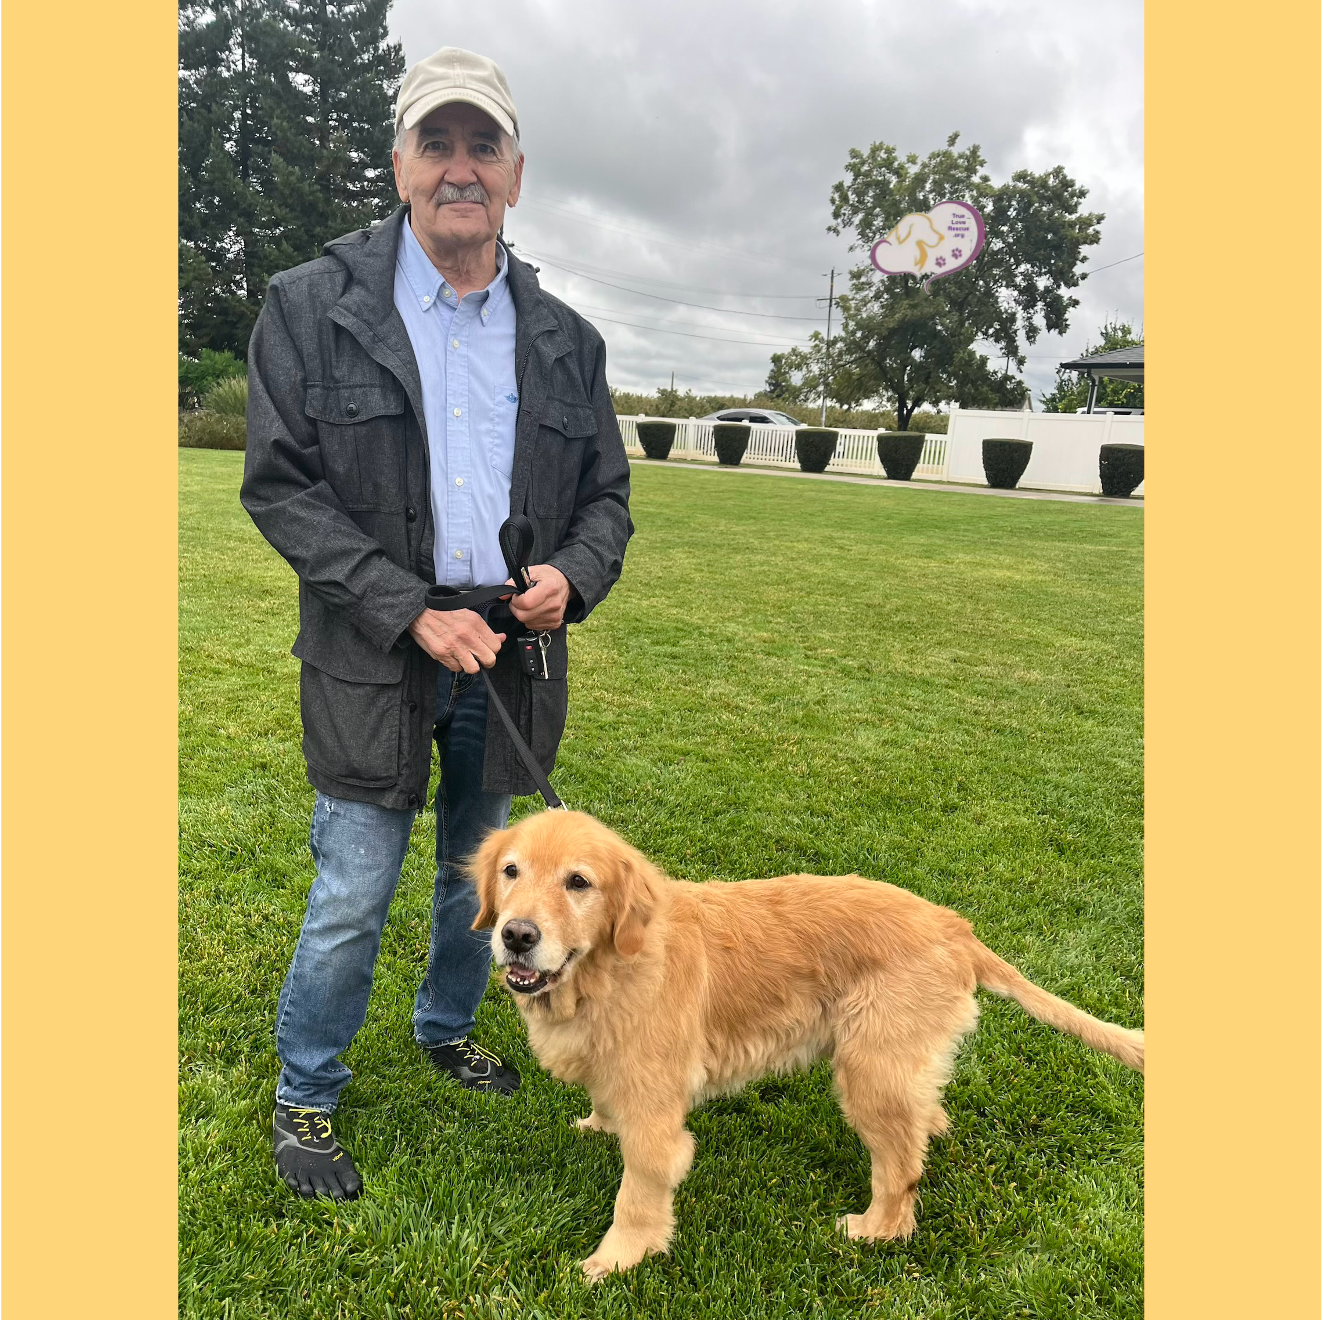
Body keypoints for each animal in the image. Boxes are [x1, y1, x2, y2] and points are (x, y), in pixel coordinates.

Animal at [470, 810, 1143, 1281]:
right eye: (511, 871)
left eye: (578, 882)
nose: (517, 936)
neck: (607, 969)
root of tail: (957, 928)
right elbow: (606, 1106)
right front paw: (597, 1124)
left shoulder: (658, 1120)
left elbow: (636, 1198)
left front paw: (616, 1261)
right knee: (924, 1120)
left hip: (868, 1074)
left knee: (901, 1176)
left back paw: (873, 1229)